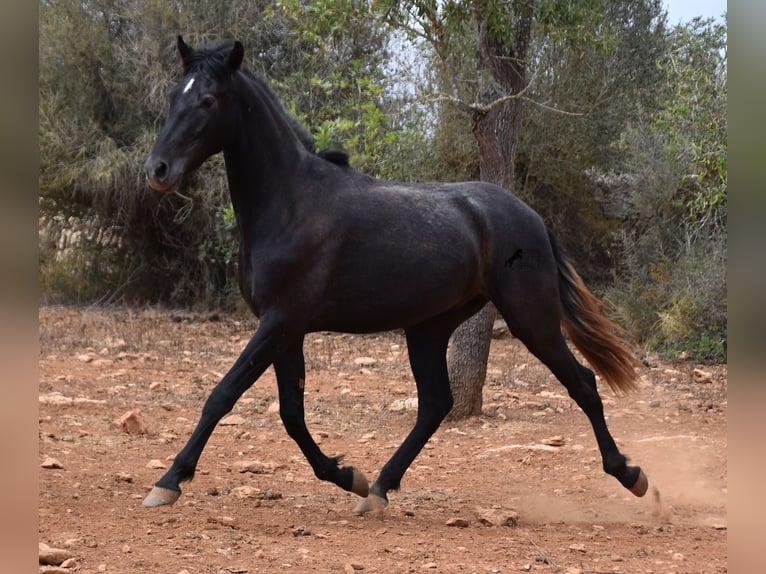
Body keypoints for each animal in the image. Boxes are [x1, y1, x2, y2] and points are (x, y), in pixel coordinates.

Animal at [142, 36, 648, 516]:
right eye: (172, 95)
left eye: (208, 100)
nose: (157, 170)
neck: (292, 203)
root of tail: (532, 218)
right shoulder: (285, 330)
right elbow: (291, 414)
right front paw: (348, 476)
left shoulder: (281, 321)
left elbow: (223, 394)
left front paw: (168, 482)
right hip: (428, 328)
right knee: (436, 404)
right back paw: (379, 488)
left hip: (531, 318)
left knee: (582, 383)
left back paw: (631, 475)